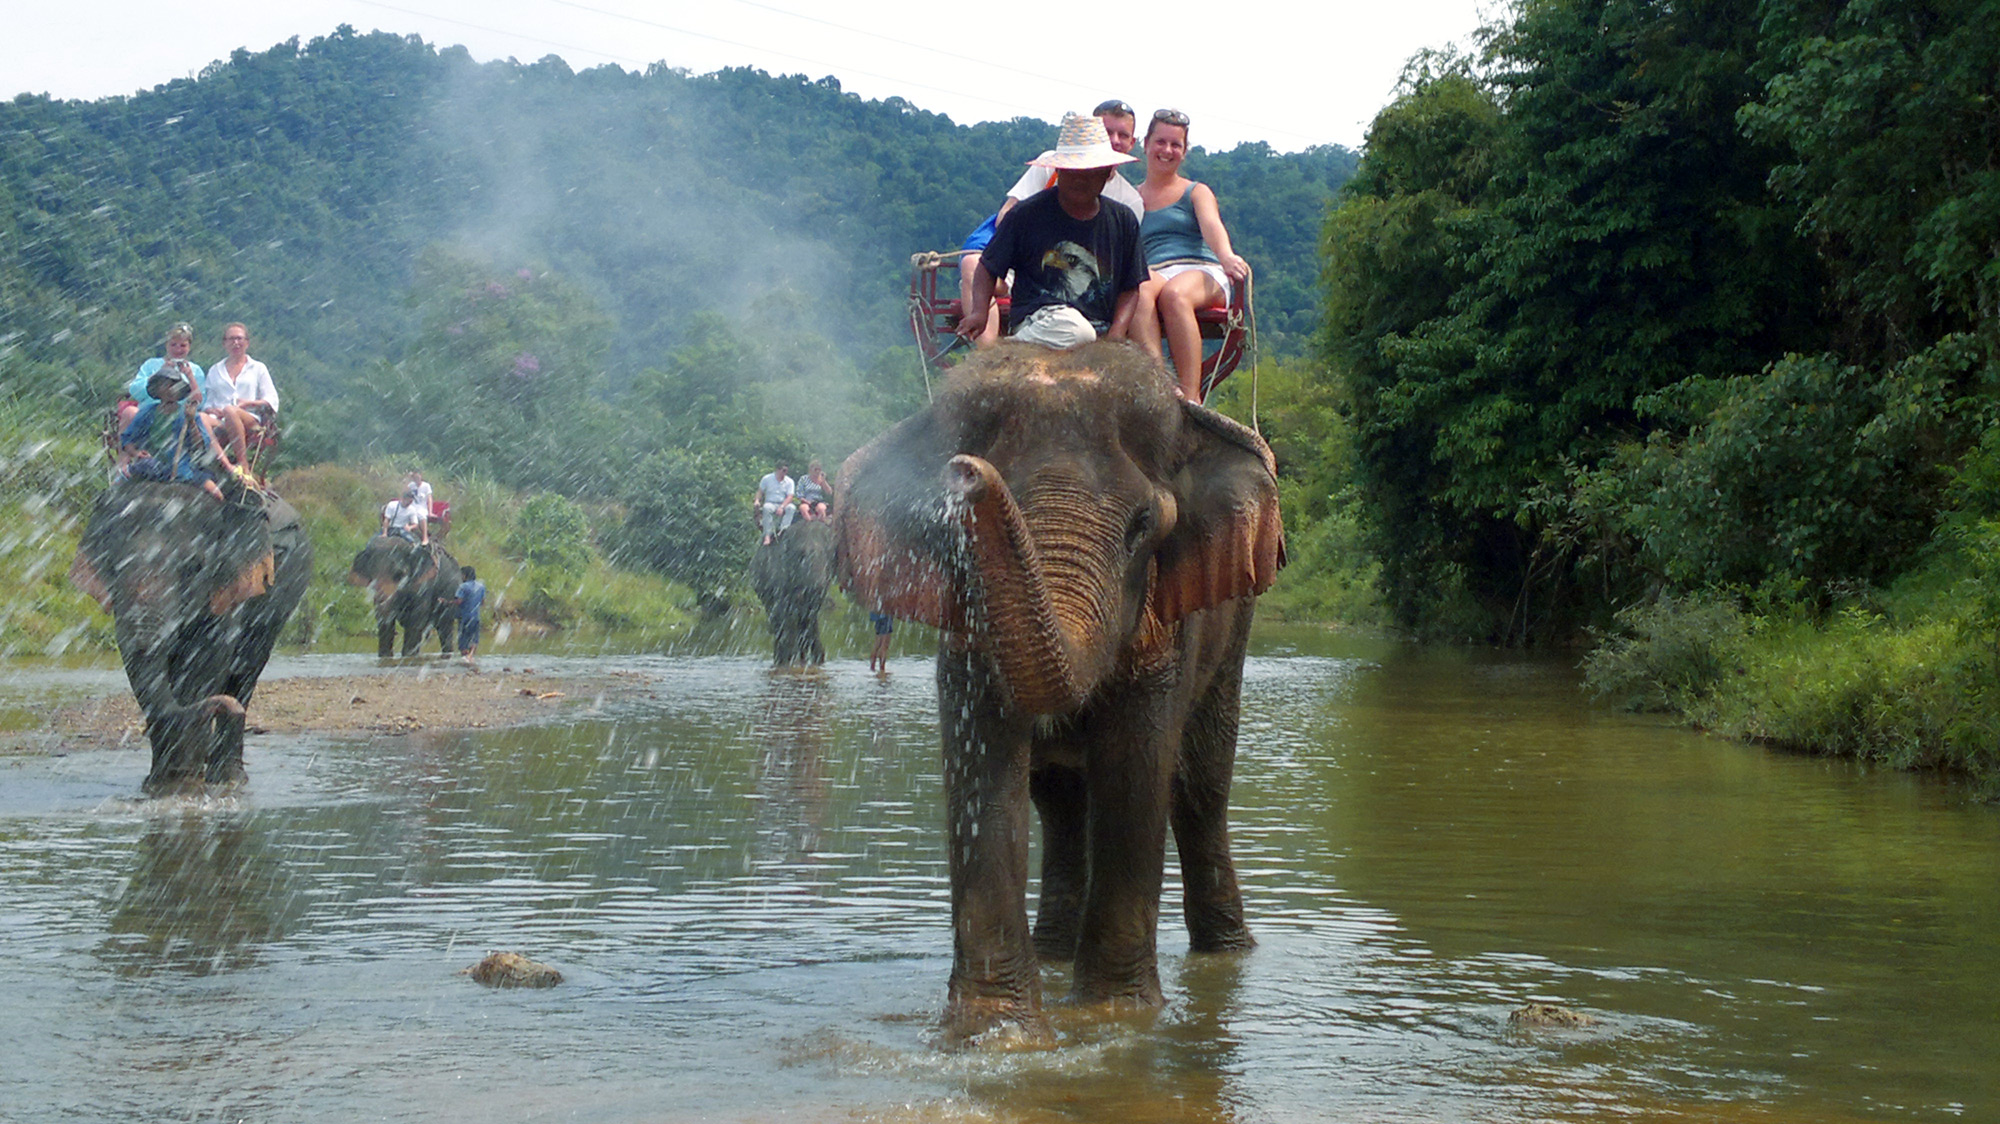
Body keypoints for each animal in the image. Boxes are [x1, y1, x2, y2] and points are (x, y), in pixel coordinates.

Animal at [69, 480, 312, 788]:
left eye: (193, 568)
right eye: (113, 565)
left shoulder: (229, 584)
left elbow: (207, 657)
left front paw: (183, 783)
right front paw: (162, 785)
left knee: (246, 670)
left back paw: (229, 777)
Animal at [836, 340, 1288, 1040]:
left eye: (1142, 525)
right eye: (952, 526)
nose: (965, 472)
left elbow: (1137, 768)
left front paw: (1114, 1020)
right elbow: (986, 772)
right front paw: (995, 1035)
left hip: (1236, 622)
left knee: (1199, 787)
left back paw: (1227, 955)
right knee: (1061, 800)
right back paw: (1053, 954)